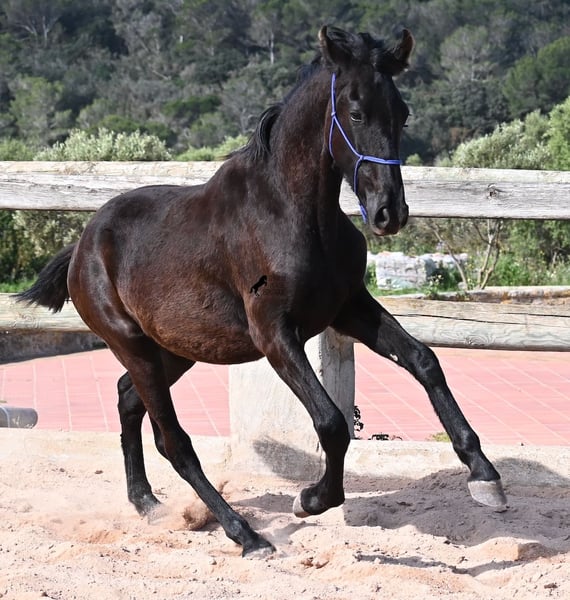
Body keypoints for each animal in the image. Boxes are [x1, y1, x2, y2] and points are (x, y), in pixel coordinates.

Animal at [18, 25, 507, 557]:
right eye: (356, 112)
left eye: (402, 111)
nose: (388, 213)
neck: (294, 214)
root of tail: (83, 244)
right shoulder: (274, 333)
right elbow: (332, 423)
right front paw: (311, 499)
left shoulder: (347, 308)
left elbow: (424, 361)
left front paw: (484, 477)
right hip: (133, 344)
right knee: (173, 440)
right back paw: (245, 533)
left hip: (176, 348)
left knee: (129, 399)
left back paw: (147, 503)